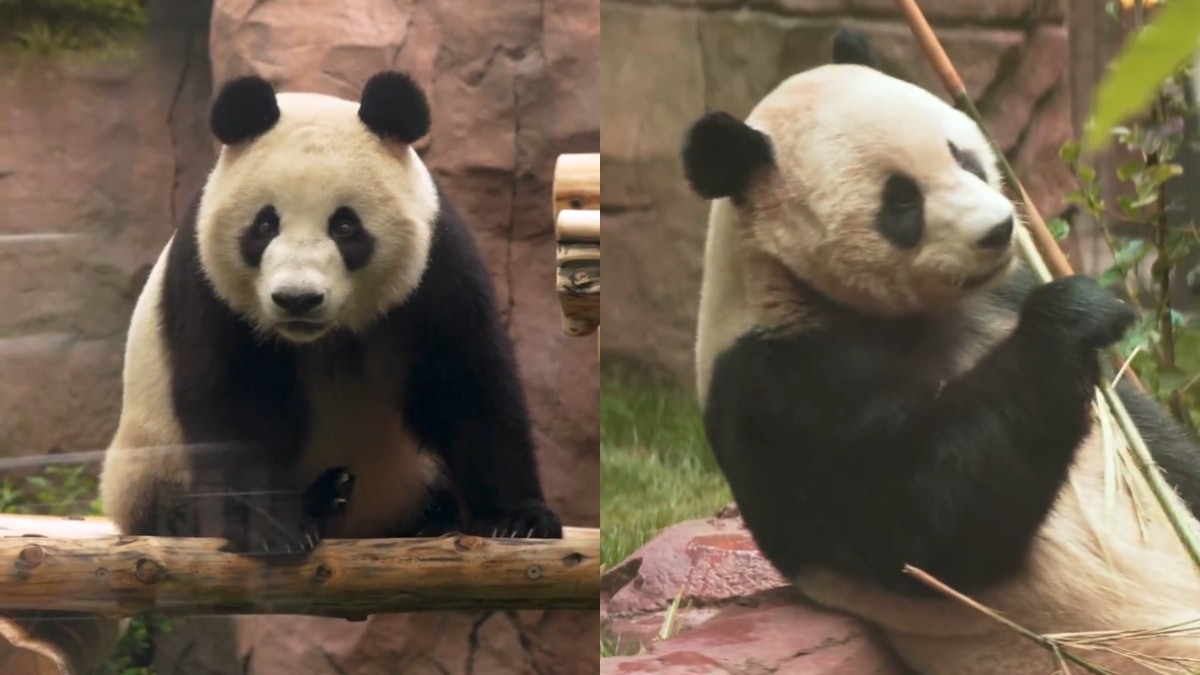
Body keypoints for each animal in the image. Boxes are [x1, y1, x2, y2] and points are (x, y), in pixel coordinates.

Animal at [99, 70, 561, 554]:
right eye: (265, 225)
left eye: (345, 226)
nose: (297, 299)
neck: (325, 336)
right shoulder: (210, 283)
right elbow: (235, 406)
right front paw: (271, 528)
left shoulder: (436, 265)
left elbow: (467, 384)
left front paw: (518, 519)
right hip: (152, 467)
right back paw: (324, 497)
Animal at [686, 28, 1200, 672]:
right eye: (901, 201)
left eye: (964, 156)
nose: (999, 230)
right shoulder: (781, 387)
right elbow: (925, 523)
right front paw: (1075, 314)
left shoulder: (1001, 296)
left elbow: (1155, 443)